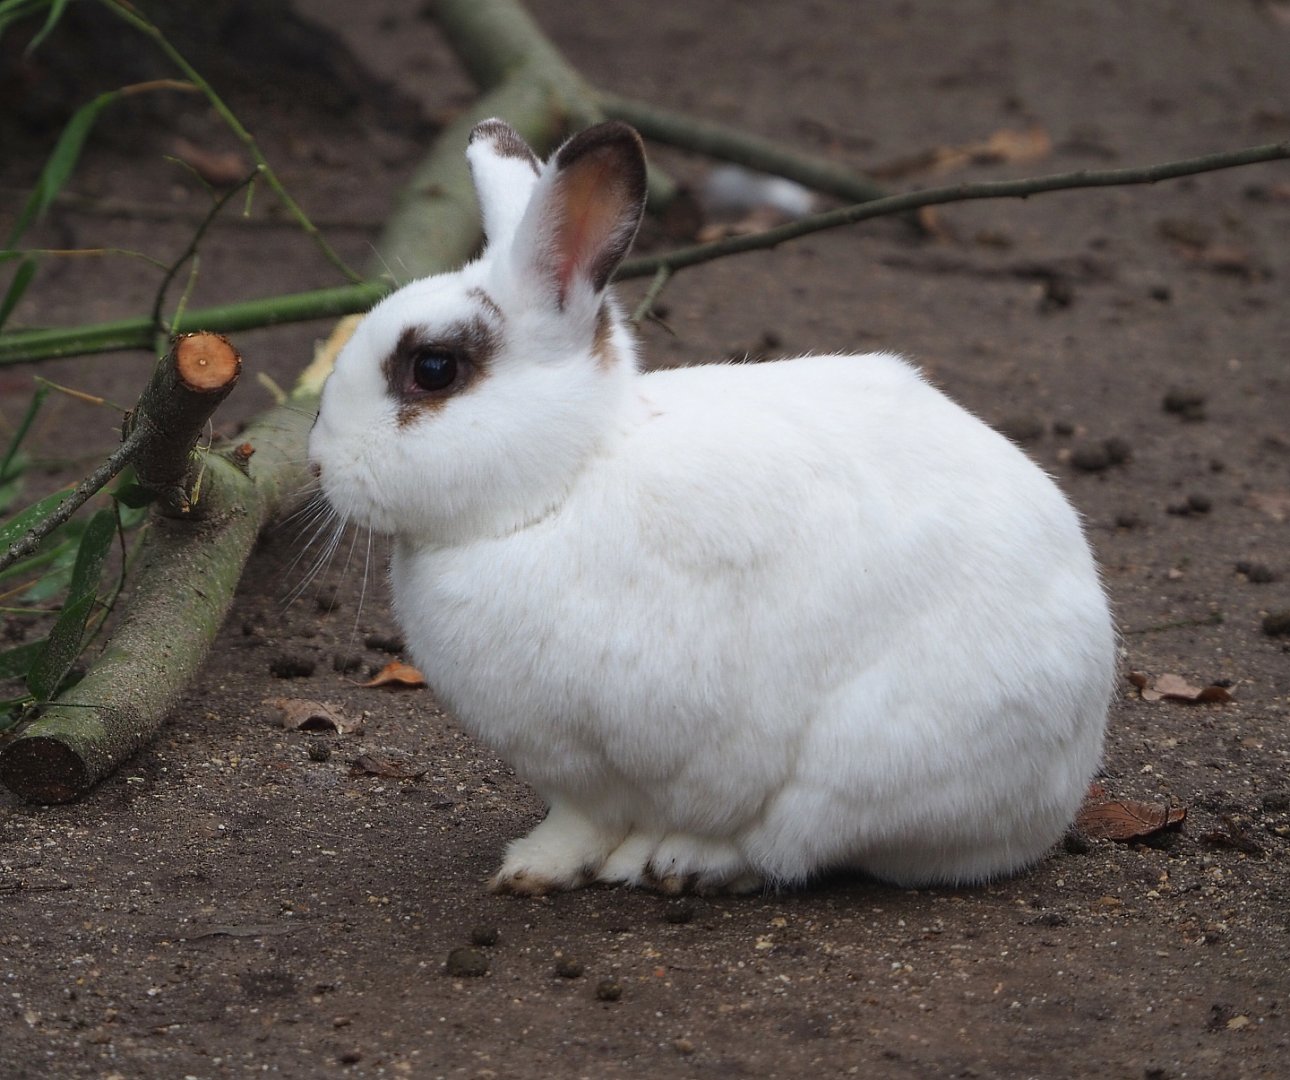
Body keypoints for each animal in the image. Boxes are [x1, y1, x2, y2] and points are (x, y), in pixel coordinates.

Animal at [307, 118, 1116, 896]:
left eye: (433, 369)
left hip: (857, 773)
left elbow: (597, 820)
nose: (318, 461)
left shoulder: (615, 760)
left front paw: (539, 867)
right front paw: (532, 864)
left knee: (788, 846)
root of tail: (1053, 798)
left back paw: (682, 864)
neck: (565, 483)